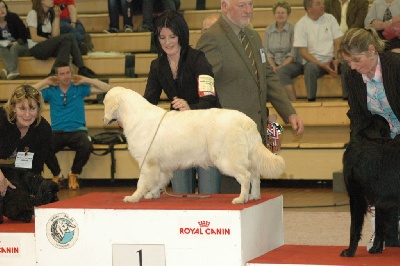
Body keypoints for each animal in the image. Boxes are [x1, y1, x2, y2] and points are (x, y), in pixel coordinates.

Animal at [103, 87, 284, 204]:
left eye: (104, 103)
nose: (102, 119)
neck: (135, 116)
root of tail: (246, 121)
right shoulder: (161, 166)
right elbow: (159, 181)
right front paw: (152, 195)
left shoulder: (147, 162)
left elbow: (142, 182)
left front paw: (133, 197)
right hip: (247, 156)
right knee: (255, 175)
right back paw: (254, 197)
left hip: (226, 159)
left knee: (246, 176)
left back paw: (241, 199)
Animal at [340, 115, 400, 258]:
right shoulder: (381, 200)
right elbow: (379, 226)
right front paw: (376, 248)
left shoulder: (356, 196)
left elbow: (354, 228)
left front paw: (350, 251)